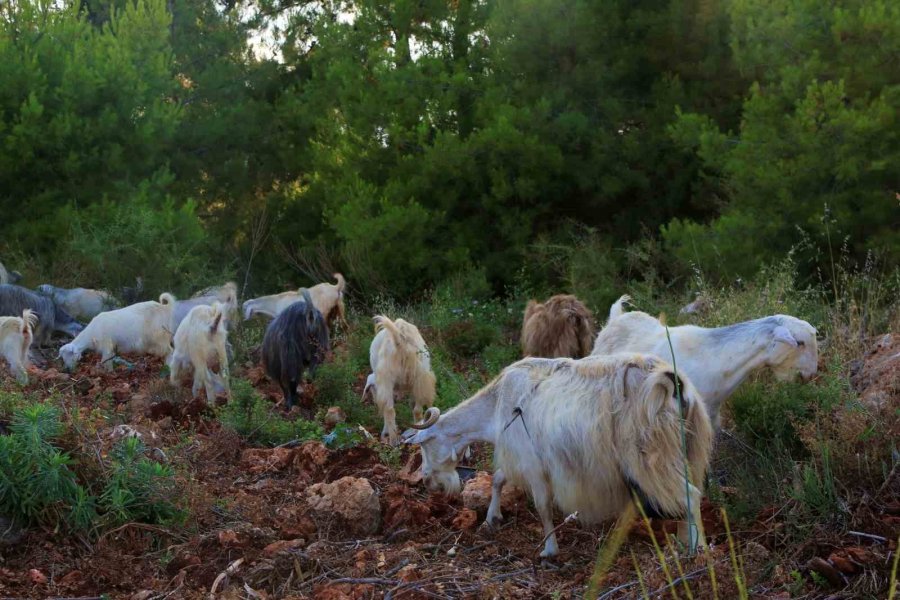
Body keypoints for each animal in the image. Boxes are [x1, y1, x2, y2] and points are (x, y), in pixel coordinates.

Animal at [364, 314, 438, 446]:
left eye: (372, 389)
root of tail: (399, 341)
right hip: (420, 377)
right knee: (416, 409)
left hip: (387, 378)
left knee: (389, 410)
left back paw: (393, 440)